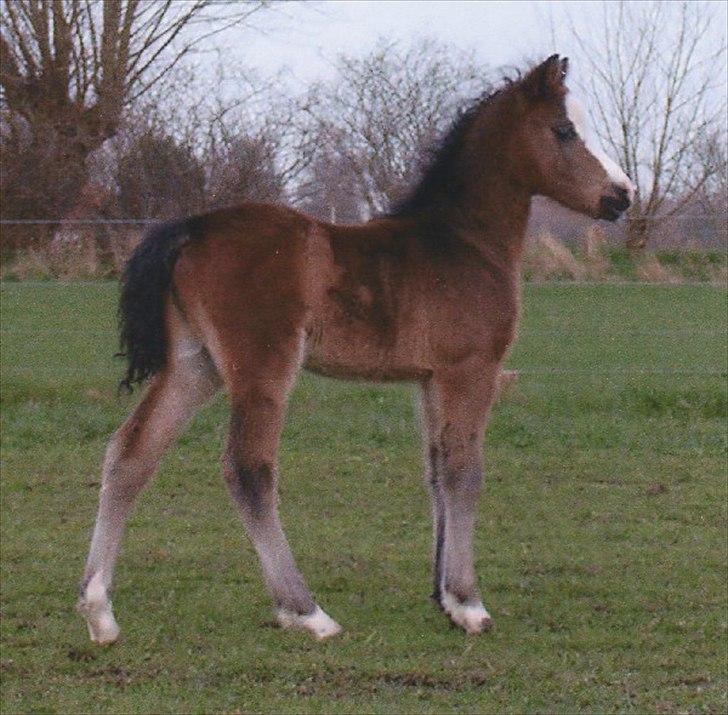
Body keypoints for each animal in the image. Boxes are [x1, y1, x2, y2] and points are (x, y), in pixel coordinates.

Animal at [77, 55, 633, 643]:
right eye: (564, 130)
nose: (622, 195)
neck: (462, 242)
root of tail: (191, 228)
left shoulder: (428, 378)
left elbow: (435, 471)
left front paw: (441, 598)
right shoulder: (470, 369)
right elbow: (465, 471)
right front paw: (468, 603)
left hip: (195, 366)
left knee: (131, 454)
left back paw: (99, 611)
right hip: (261, 368)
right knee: (247, 469)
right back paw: (305, 611)